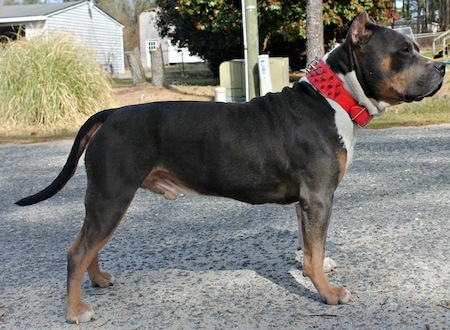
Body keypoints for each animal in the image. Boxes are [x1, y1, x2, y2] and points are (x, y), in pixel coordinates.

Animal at [15, 11, 444, 324]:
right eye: (404, 50)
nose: (441, 68)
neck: (335, 97)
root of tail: (111, 114)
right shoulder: (319, 197)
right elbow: (314, 248)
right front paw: (328, 293)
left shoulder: (306, 202)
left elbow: (309, 246)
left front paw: (318, 270)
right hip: (112, 196)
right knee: (77, 251)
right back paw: (75, 312)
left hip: (107, 200)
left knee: (89, 244)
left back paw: (100, 281)